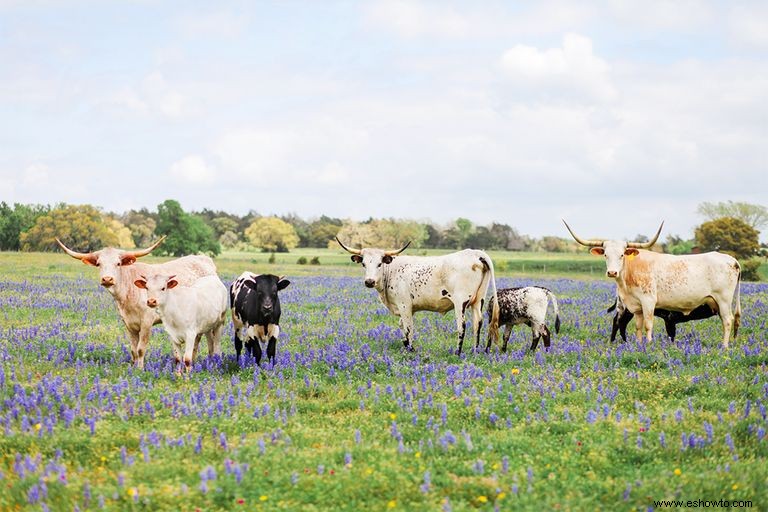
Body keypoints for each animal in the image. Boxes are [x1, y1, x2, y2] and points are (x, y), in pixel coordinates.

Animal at [56, 237, 219, 368]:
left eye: (118, 263)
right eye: (98, 264)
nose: (107, 279)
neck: (128, 293)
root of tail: (205, 260)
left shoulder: (147, 322)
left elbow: (141, 349)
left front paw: (140, 369)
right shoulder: (128, 324)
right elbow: (133, 350)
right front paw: (133, 367)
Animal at [336, 237, 498, 354]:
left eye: (379, 264)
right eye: (363, 264)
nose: (369, 281)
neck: (391, 270)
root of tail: (476, 253)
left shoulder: (404, 305)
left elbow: (409, 328)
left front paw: (410, 349)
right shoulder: (407, 308)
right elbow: (402, 326)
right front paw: (406, 345)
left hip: (460, 302)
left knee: (462, 325)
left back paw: (457, 352)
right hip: (478, 300)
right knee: (478, 323)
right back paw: (475, 350)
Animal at [560, 221, 740, 348]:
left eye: (621, 255)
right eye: (605, 255)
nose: (612, 272)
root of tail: (732, 260)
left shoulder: (648, 302)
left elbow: (648, 325)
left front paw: (648, 345)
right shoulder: (636, 307)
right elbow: (638, 327)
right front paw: (639, 345)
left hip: (723, 300)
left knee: (727, 321)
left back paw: (724, 346)